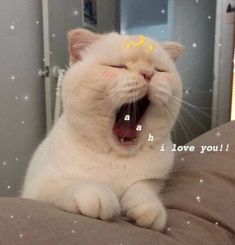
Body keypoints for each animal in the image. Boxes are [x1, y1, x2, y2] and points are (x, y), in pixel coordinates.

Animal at [21, 29, 184, 232]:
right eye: (118, 67)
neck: (117, 159)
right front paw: (97, 196)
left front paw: (149, 208)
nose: (148, 74)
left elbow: (142, 188)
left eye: (160, 70)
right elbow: (70, 184)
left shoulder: (155, 180)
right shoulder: (38, 186)